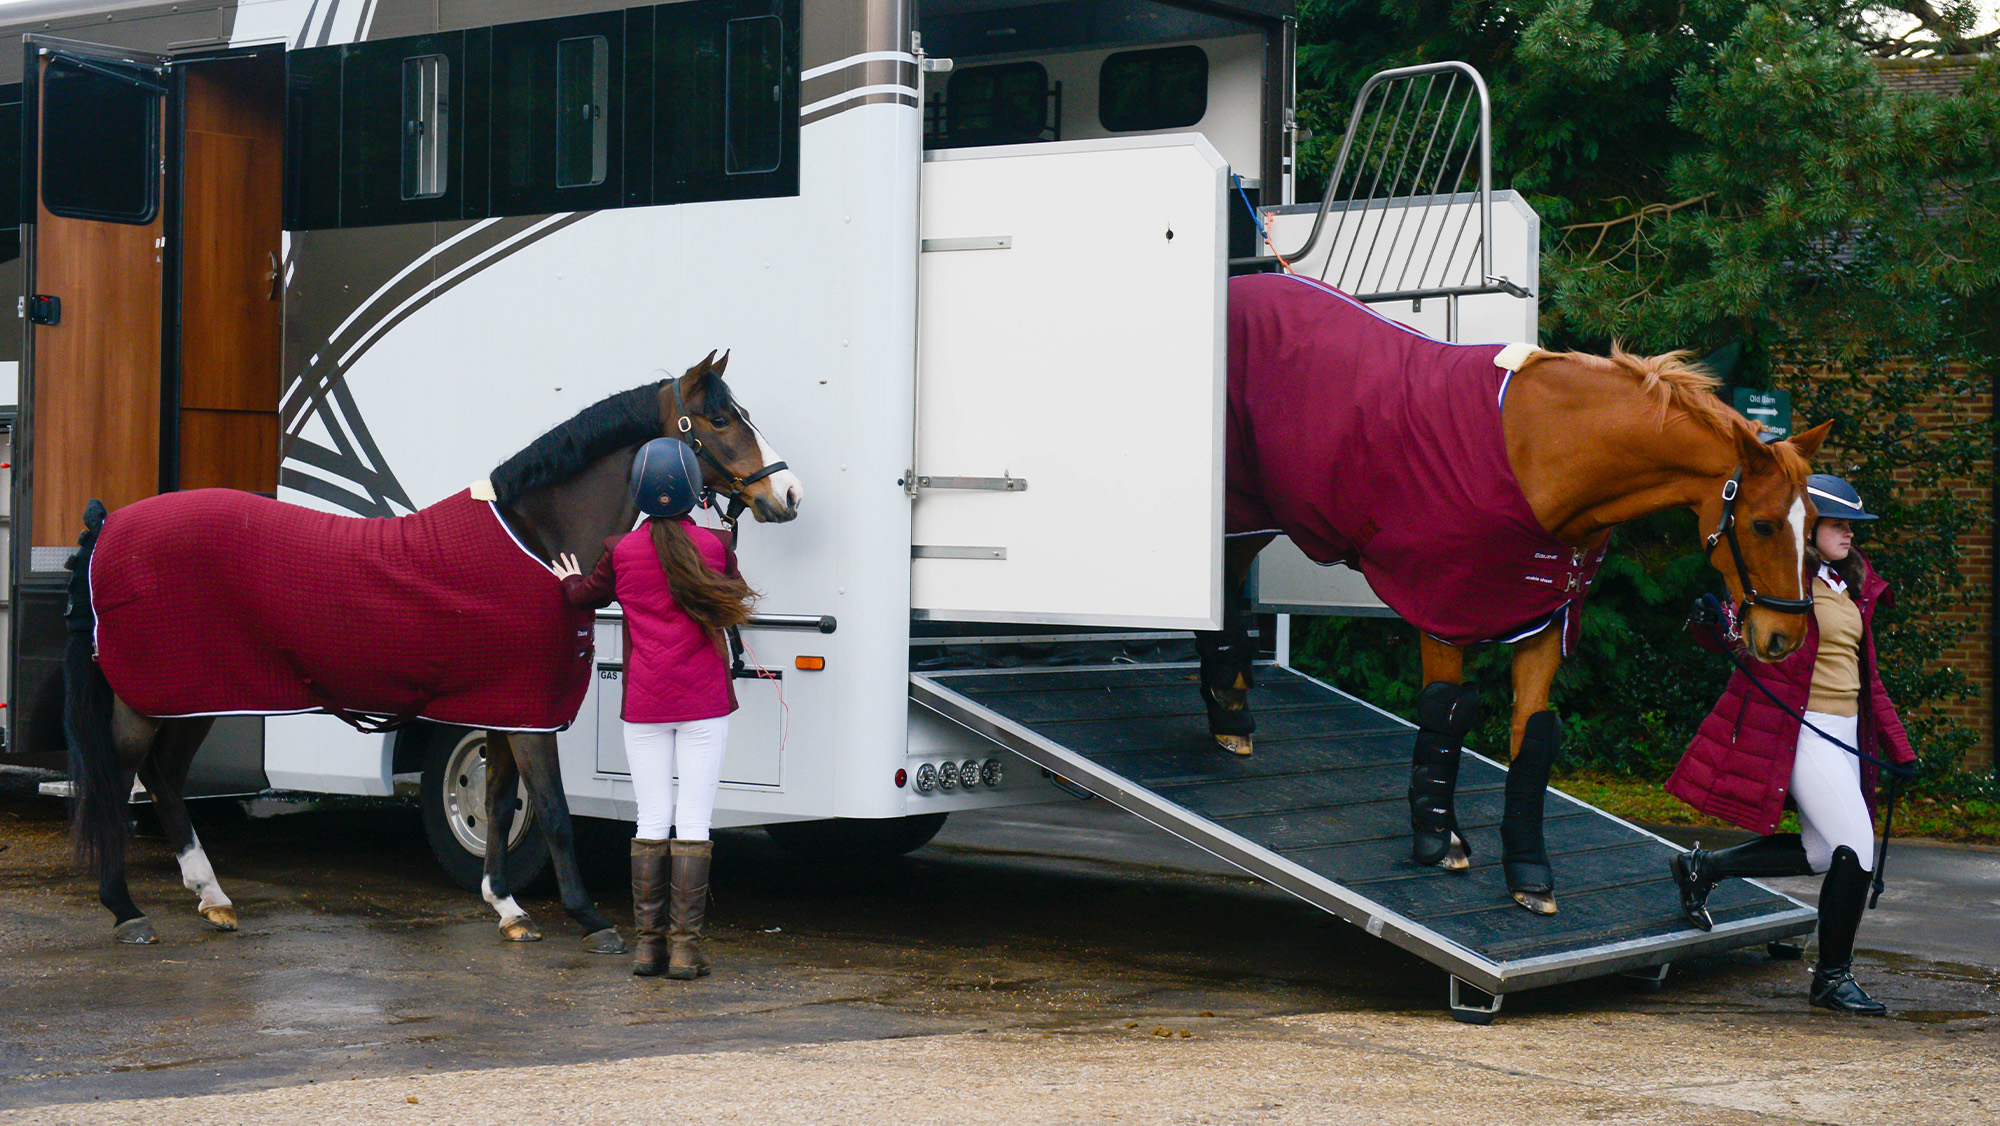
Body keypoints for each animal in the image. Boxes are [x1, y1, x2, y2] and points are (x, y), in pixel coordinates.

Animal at [63, 352, 804, 946]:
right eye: (719, 420)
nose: (787, 492)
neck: (536, 542)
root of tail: (110, 524)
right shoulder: (530, 719)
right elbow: (554, 812)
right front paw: (590, 920)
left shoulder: (506, 708)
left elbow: (502, 804)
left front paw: (508, 907)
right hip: (150, 696)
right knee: (117, 778)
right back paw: (126, 910)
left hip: (198, 693)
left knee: (164, 777)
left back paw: (211, 897)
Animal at [1199, 272, 1828, 915]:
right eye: (1763, 525)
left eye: (1812, 525)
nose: (1785, 636)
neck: (1547, 451)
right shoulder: (1444, 607)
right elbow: (1445, 712)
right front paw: (1438, 839)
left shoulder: (1545, 619)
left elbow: (1532, 737)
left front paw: (1527, 869)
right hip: (1243, 503)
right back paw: (1230, 712)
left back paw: (1231, 702)